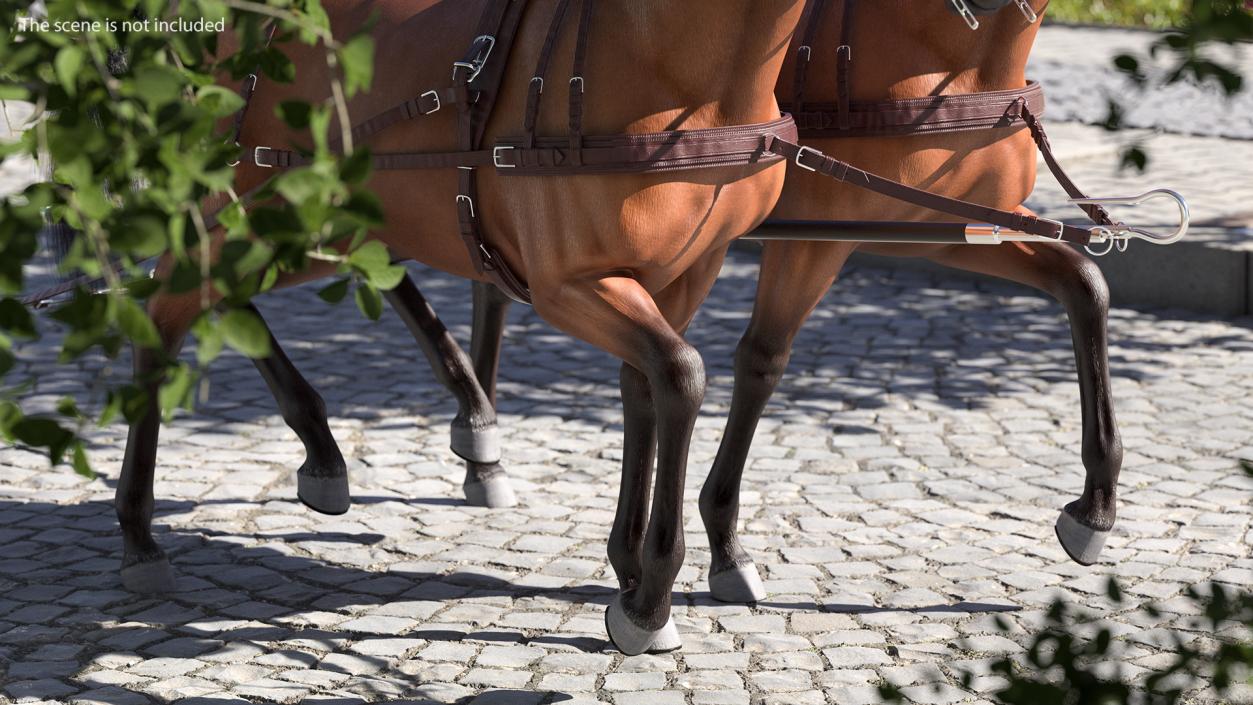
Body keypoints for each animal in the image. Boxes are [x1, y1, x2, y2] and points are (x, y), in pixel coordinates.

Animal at [119, 0, 801, 656]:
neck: (681, 65)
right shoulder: (568, 285)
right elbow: (682, 375)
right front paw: (650, 600)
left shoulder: (687, 271)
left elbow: (648, 388)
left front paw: (632, 571)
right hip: (242, 213)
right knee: (164, 312)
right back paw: (140, 534)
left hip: (313, 229)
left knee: (216, 301)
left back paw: (326, 449)